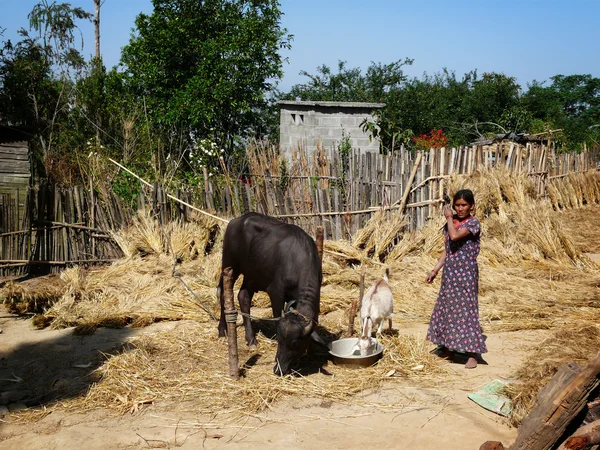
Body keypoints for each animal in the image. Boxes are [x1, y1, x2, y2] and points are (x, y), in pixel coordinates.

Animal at [218, 213, 324, 374]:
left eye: (295, 343)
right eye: (280, 339)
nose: (279, 369)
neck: (297, 261)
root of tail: (236, 221)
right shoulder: (276, 292)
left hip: (252, 276)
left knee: (243, 296)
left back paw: (251, 340)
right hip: (229, 264)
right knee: (223, 293)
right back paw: (222, 330)